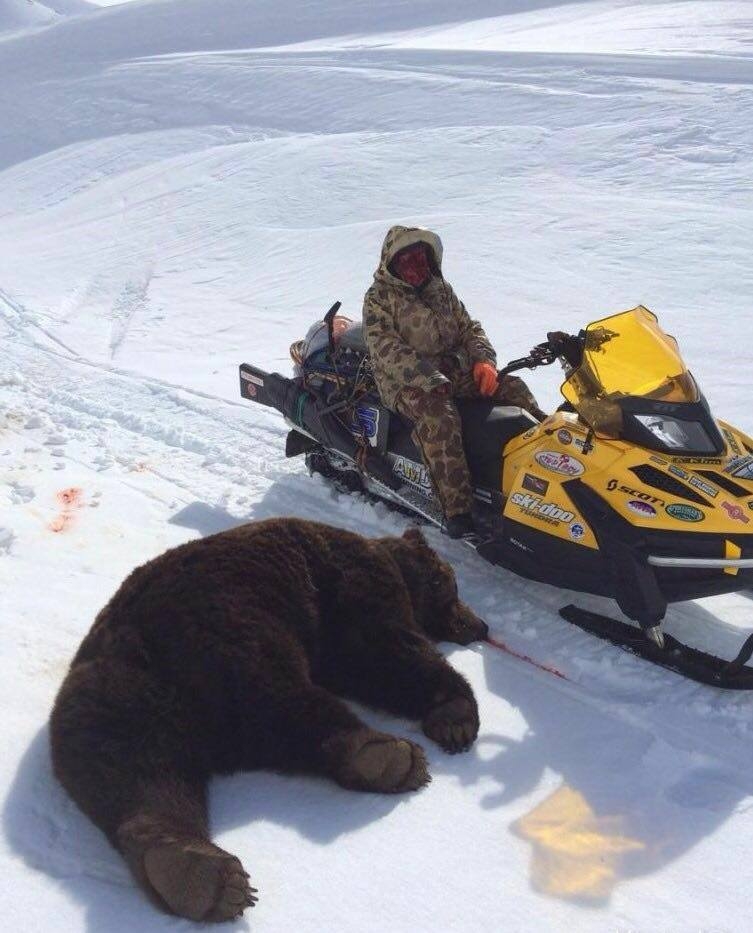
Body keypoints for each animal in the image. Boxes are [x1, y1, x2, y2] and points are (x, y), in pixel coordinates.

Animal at [51, 516, 488, 924]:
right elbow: (387, 649)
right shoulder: (356, 585)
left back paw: (195, 874)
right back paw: (390, 757)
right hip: (235, 633)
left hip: (111, 704)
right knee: (284, 698)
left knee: (137, 774)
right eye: (454, 589)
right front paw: (456, 718)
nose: (481, 625)